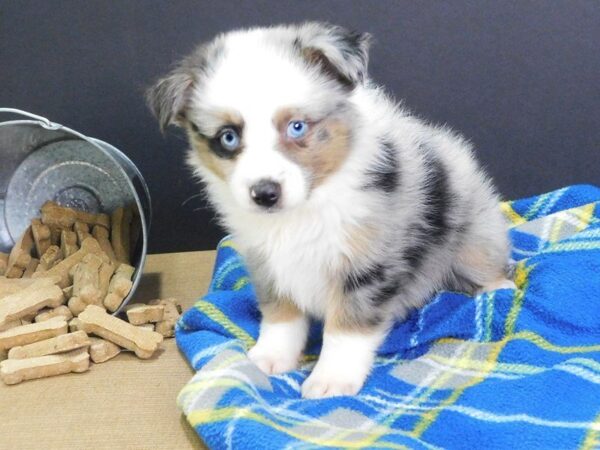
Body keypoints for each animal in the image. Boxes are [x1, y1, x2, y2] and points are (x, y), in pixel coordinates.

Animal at [146, 22, 510, 400]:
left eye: (297, 127)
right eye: (228, 137)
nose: (265, 194)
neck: (304, 209)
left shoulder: (367, 264)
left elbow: (346, 329)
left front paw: (331, 380)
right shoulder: (266, 262)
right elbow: (280, 315)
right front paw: (271, 357)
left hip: (473, 237)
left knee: (488, 264)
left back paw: (497, 291)